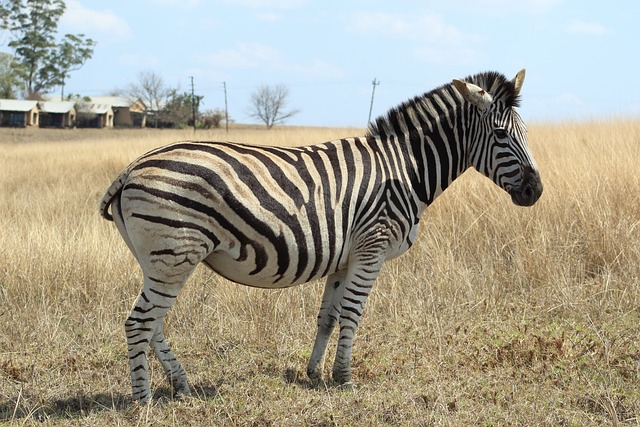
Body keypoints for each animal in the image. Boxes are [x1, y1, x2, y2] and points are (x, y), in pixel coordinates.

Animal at [99, 68, 540, 402]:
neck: (406, 168)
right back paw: (143, 401)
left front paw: (314, 373)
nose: (535, 192)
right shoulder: (371, 247)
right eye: (501, 135)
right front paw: (344, 379)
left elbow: (328, 316)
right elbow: (353, 314)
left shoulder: (345, 258)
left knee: (153, 323)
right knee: (139, 323)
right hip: (174, 253)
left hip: (160, 259)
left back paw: (181, 385)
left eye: (526, 133)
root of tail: (132, 167)